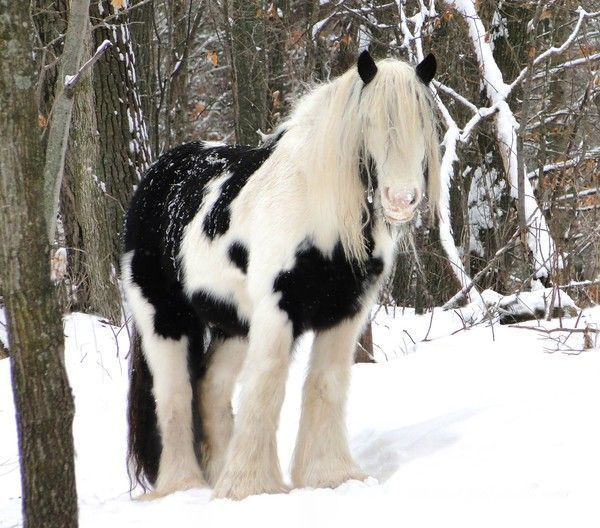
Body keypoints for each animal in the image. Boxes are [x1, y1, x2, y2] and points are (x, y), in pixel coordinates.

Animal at [123, 51, 440, 502]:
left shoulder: (344, 315)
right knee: (173, 395)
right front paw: (252, 488)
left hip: (234, 325)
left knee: (210, 388)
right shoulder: (277, 311)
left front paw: (330, 476)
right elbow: (266, 387)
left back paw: (218, 473)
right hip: (163, 320)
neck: (316, 208)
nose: (401, 200)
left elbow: (325, 385)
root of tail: (156, 177)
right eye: (369, 124)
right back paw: (183, 485)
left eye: (422, 124)